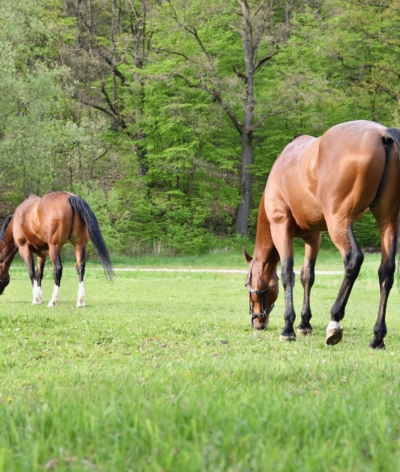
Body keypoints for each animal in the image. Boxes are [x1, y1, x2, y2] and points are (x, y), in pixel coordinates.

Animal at [242, 121, 400, 350]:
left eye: (248, 285)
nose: (257, 321)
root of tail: (382, 134)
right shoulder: (313, 237)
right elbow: (307, 276)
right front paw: (304, 323)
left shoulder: (281, 227)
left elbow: (288, 274)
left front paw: (288, 327)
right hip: (387, 220)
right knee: (386, 271)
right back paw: (377, 337)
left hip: (339, 222)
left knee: (354, 260)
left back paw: (335, 321)